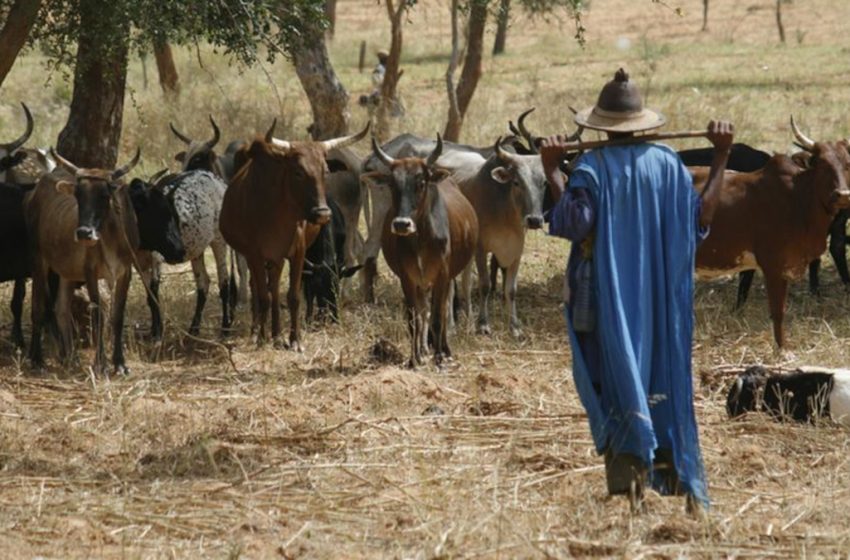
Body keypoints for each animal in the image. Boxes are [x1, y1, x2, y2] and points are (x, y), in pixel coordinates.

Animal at [24, 151, 142, 374]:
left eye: (104, 195)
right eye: (78, 195)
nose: (84, 233)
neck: (111, 235)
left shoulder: (126, 272)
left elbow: (118, 316)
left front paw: (120, 363)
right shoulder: (90, 272)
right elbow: (98, 316)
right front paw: (101, 363)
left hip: (67, 272)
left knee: (61, 308)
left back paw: (70, 357)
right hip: (38, 260)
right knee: (38, 307)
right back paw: (36, 359)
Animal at [219, 122, 368, 350]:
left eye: (325, 171)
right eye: (298, 172)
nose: (322, 213)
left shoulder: (297, 253)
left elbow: (294, 296)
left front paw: (294, 340)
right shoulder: (254, 255)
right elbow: (262, 296)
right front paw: (261, 338)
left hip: (278, 258)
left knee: (274, 288)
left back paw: (276, 334)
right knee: (259, 290)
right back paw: (258, 332)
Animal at [370, 136, 476, 368]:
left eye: (420, 183)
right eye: (392, 184)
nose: (402, 224)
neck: (420, 240)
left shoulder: (442, 275)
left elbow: (438, 317)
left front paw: (439, 357)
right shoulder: (407, 278)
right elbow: (414, 319)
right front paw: (414, 358)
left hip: (446, 278)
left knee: (443, 311)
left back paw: (444, 349)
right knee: (422, 312)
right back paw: (422, 350)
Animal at [692, 118, 848, 346]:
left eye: (847, 164)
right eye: (822, 164)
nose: (843, 195)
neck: (797, 197)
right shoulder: (772, 264)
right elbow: (777, 312)